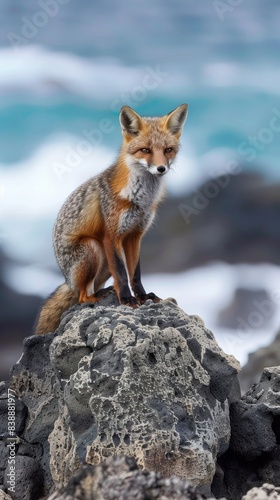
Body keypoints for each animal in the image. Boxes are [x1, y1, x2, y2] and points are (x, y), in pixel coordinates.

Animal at [35, 103, 188, 334]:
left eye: (168, 150)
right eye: (146, 150)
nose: (161, 168)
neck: (139, 198)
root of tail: (66, 279)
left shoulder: (134, 236)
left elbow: (135, 274)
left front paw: (142, 297)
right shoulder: (111, 236)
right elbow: (123, 275)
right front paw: (126, 299)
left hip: (104, 263)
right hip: (94, 249)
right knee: (82, 297)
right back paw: (97, 297)